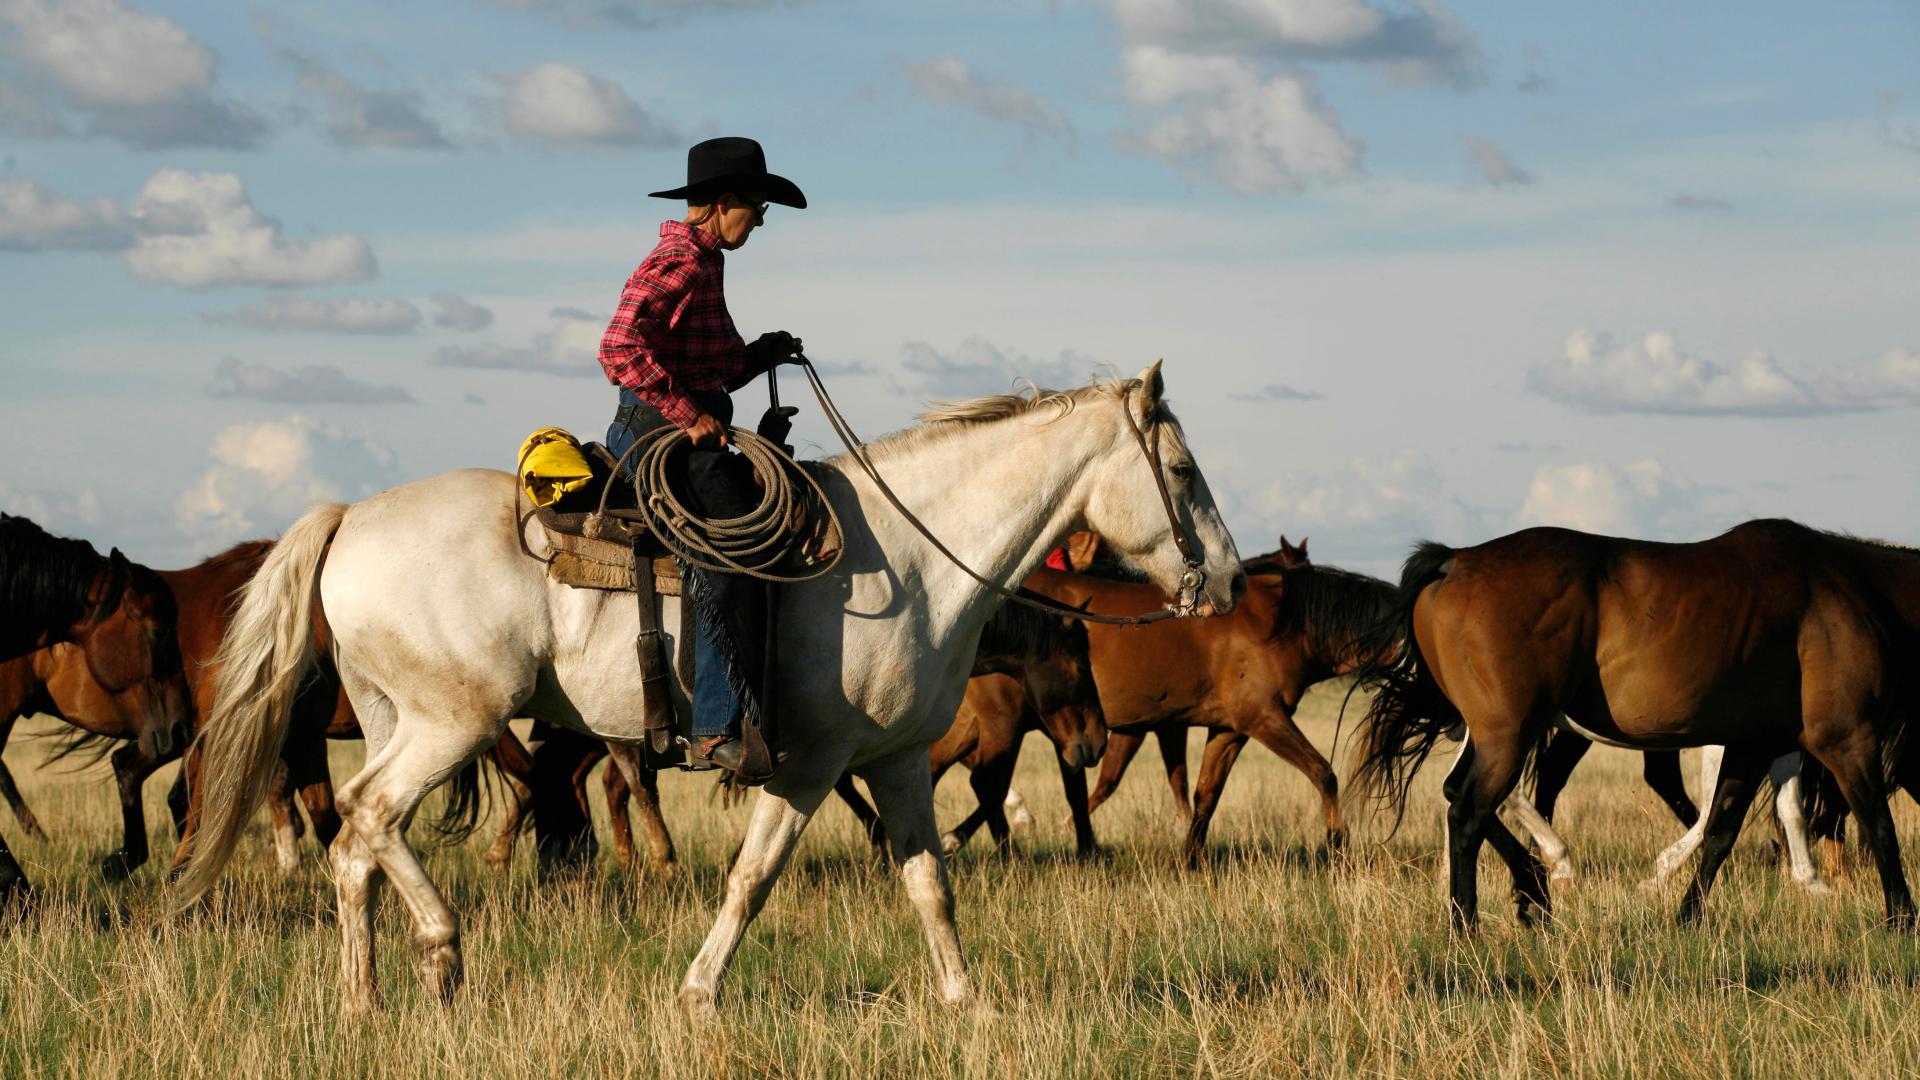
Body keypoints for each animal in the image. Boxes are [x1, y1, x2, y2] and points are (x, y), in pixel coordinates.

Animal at [176, 365, 1244, 1014]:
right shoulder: (808, 766)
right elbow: (752, 878)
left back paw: (369, 994)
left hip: (401, 717)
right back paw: (439, 951)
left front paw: (966, 1005)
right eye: (1184, 468)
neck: (913, 556)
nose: (1228, 581)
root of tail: (351, 515)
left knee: (357, 840)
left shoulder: (896, 761)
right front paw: (696, 994)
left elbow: (930, 884)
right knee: (366, 815)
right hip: (455, 720)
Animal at [1351, 518, 1920, 926]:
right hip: (1509, 737)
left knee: (1463, 797)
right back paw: (1471, 920)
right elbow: (1880, 825)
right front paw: (1902, 917)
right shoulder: (1848, 739)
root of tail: (1454, 561)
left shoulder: (1753, 745)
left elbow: (1721, 830)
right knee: (1470, 810)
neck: (1852, 591)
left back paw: (1533, 892)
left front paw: (1689, 916)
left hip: (1503, 736)